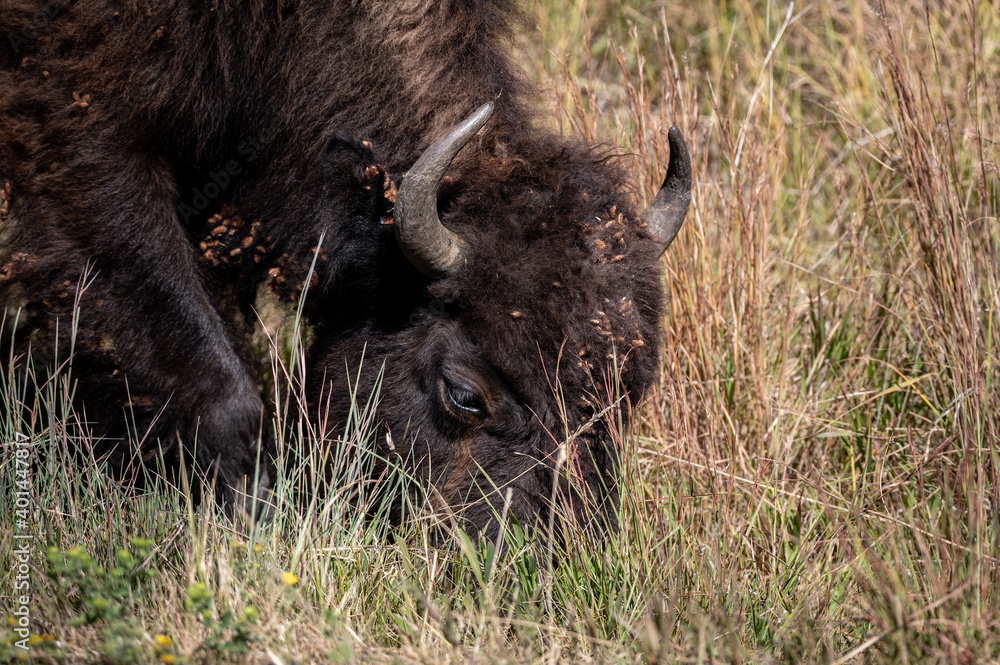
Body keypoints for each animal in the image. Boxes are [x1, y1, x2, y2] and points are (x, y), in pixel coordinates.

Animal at [0, 0, 688, 540]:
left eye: (622, 403)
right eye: (466, 396)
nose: (546, 560)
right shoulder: (87, 150)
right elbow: (223, 391)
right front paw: (257, 519)